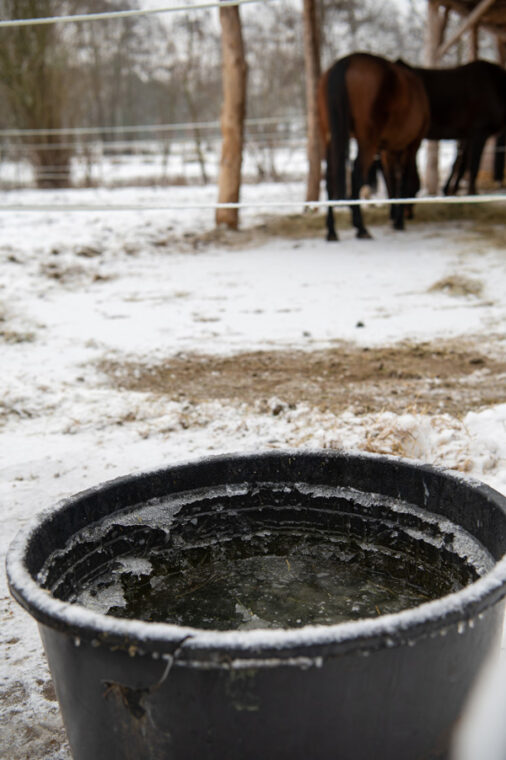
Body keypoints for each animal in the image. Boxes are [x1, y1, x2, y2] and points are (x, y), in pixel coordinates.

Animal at [318, 52, 428, 240]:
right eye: (416, 189)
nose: (410, 215)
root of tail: (347, 60)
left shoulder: (388, 150)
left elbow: (391, 179)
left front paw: (394, 216)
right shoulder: (411, 145)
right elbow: (402, 179)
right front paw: (398, 221)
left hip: (330, 137)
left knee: (330, 176)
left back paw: (332, 231)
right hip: (367, 141)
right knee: (356, 174)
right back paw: (361, 228)